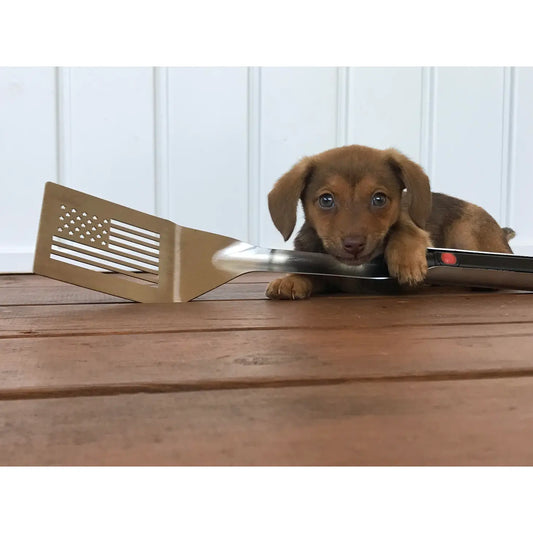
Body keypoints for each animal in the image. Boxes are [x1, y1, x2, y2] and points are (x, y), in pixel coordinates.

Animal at [266, 143, 512, 300]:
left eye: (379, 199)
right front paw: (292, 279)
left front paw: (406, 261)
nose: (354, 245)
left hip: (467, 232)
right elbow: (311, 273)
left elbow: (405, 227)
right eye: (326, 200)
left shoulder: (412, 225)